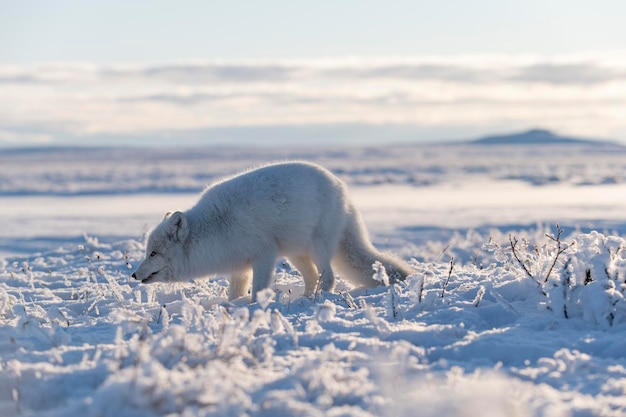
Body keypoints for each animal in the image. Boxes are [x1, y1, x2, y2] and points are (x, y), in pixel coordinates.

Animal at [132, 161, 412, 300]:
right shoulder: (239, 265)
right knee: (312, 277)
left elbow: (258, 291)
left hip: (318, 248)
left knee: (328, 278)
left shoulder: (264, 255)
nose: (133, 275)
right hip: (295, 253)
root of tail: (342, 187)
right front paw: (233, 307)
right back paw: (304, 299)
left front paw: (255, 309)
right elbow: (235, 294)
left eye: (154, 253)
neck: (215, 227)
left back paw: (315, 301)